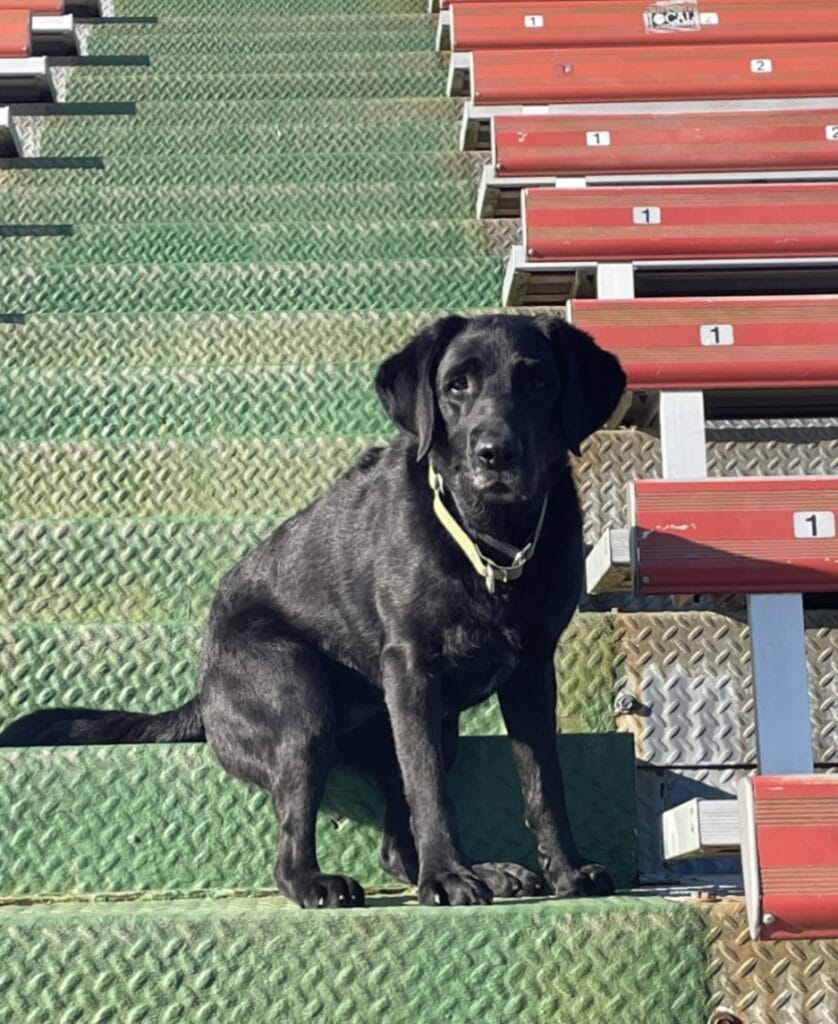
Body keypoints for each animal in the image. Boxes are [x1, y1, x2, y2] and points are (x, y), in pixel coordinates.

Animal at [1, 313, 626, 909]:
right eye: (456, 385)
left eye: (539, 382)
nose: (495, 453)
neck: (490, 541)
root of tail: (202, 693)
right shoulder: (411, 670)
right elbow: (431, 791)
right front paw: (448, 878)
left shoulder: (531, 673)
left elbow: (544, 785)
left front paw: (567, 871)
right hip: (298, 698)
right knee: (296, 844)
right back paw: (325, 882)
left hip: (423, 724)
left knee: (396, 845)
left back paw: (487, 870)